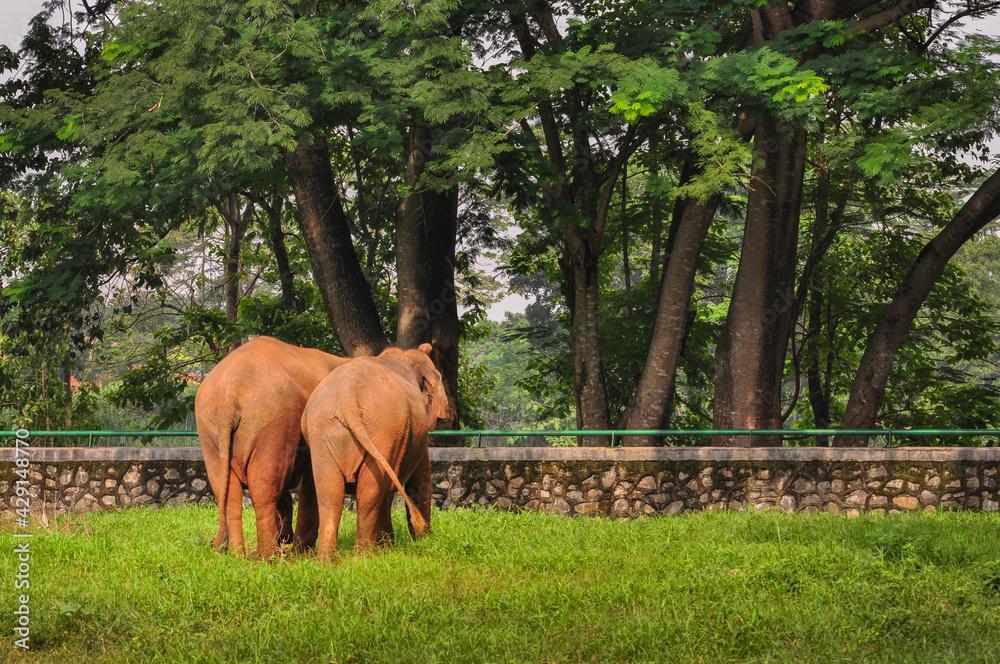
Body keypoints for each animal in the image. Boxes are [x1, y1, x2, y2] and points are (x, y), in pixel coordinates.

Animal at [195, 336, 348, 558]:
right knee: (264, 486)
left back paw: (239, 554)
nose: (287, 539)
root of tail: (227, 390)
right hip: (273, 422)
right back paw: (268, 557)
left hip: (210, 431)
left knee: (226, 488)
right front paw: (301, 552)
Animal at [301, 343, 451, 558]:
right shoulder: (418, 433)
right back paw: (363, 557)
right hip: (384, 431)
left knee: (329, 495)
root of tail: (347, 398)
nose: (425, 533)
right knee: (371, 493)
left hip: (322, 432)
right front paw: (420, 540)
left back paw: (329, 561)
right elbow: (420, 479)